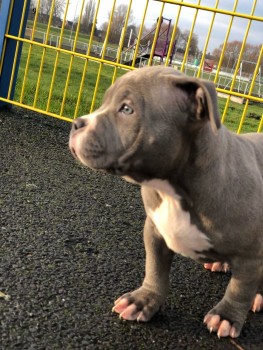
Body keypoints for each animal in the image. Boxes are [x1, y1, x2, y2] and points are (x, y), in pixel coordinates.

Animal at [70, 66, 263, 340]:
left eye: (127, 109)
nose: (76, 124)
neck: (176, 190)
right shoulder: (154, 231)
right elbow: (155, 270)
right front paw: (142, 301)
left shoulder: (250, 255)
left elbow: (239, 289)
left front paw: (226, 317)